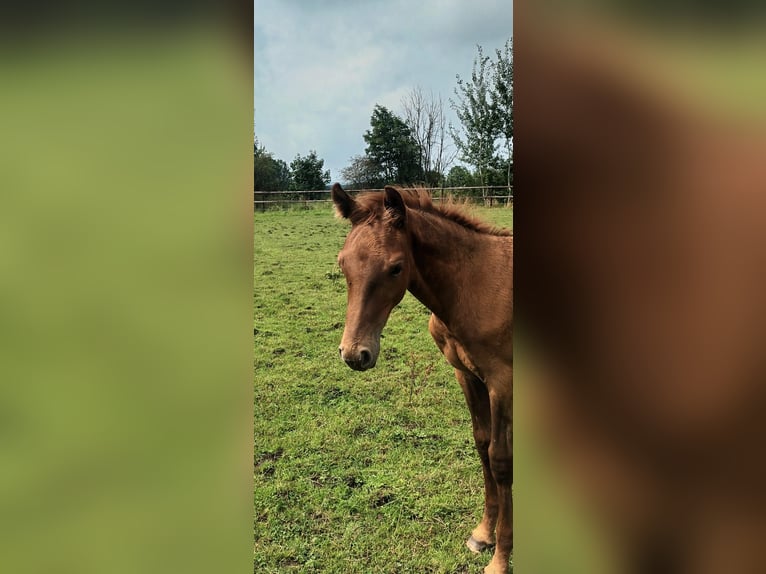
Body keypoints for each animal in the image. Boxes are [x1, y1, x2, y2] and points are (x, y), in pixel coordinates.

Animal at [332, 186, 512, 574]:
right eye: (342, 263)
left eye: (396, 267)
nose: (355, 354)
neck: (473, 286)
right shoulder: (467, 375)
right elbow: (482, 445)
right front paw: (483, 534)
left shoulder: (502, 382)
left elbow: (501, 460)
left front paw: (501, 558)